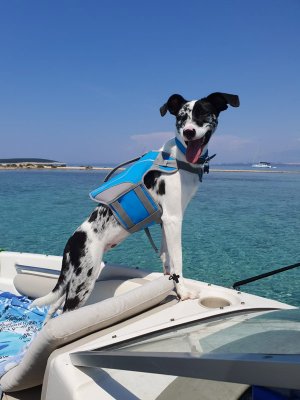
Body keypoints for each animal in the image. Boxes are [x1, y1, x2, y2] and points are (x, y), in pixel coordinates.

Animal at [31, 91, 240, 322]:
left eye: (203, 113)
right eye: (181, 118)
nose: (188, 131)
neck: (179, 157)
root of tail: (72, 242)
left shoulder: (165, 222)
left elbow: (167, 259)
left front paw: (171, 285)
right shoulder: (173, 219)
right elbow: (178, 260)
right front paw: (183, 292)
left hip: (72, 281)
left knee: (52, 310)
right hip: (83, 282)